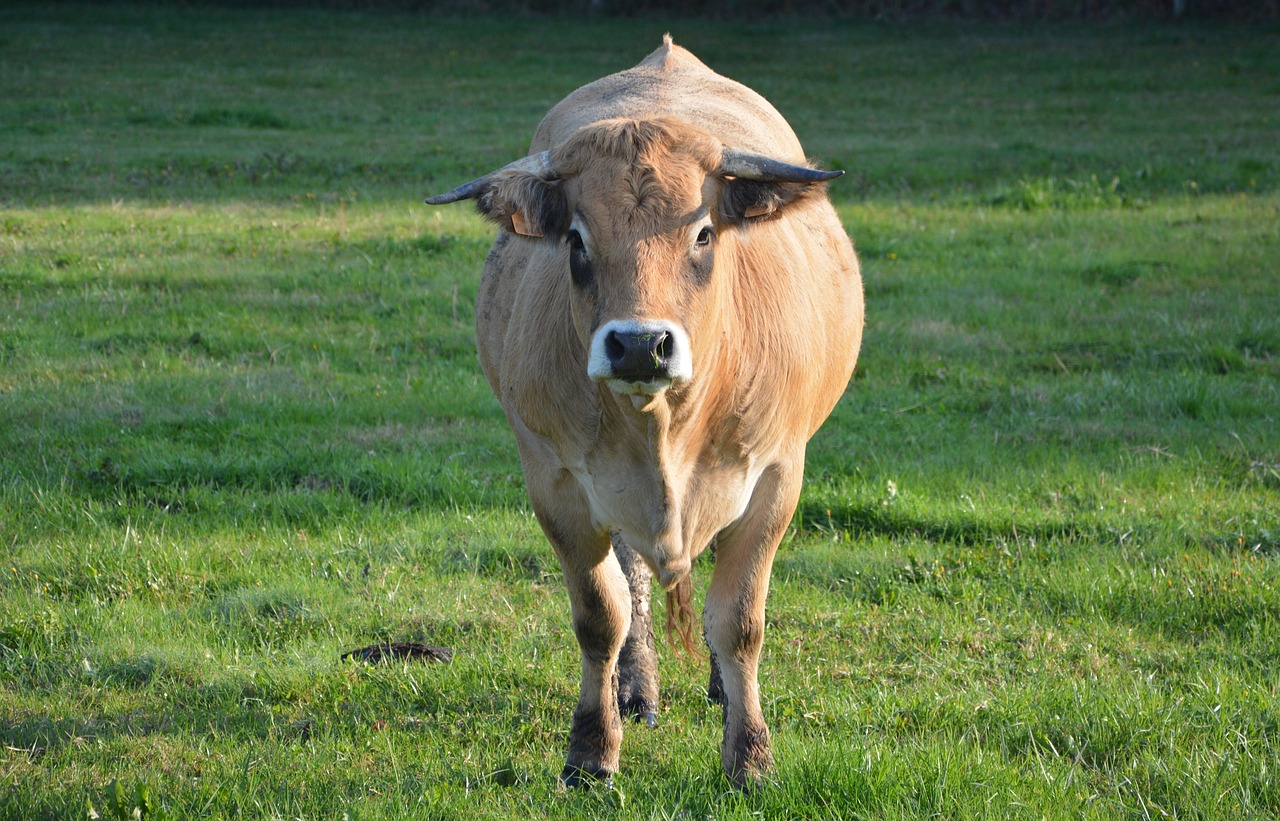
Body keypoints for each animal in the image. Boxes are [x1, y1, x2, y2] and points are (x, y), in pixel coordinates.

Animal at [427, 35, 860, 783]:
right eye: (575, 239)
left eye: (704, 233)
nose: (638, 344)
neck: (663, 431)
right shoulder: (556, 482)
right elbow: (601, 615)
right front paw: (590, 750)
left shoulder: (777, 475)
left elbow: (739, 620)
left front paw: (749, 754)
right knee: (631, 583)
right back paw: (636, 687)